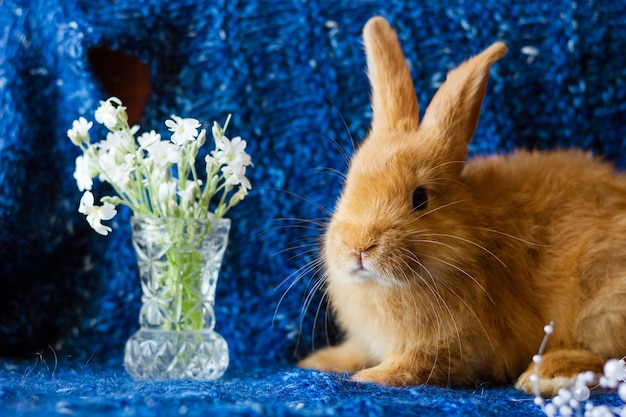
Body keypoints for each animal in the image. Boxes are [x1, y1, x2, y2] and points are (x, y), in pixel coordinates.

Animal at [296, 14, 624, 394]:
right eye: (347, 186)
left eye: (420, 198)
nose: (359, 247)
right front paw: (319, 362)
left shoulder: (454, 346)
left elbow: (414, 366)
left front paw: (369, 377)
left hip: (601, 303)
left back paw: (547, 373)